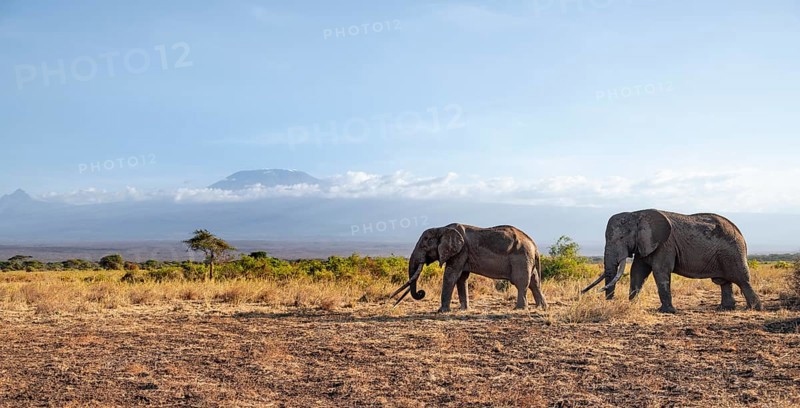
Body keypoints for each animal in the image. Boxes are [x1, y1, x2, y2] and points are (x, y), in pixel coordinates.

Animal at [390, 223, 547, 312]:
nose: (421, 292)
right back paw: (541, 308)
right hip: (527, 259)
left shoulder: (461, 251)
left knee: (521, 282)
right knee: (534, 282)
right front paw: (463, 310)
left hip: (521, 258)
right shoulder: (462, 254)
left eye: (424, 245)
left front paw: (441, 311)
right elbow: (461, 278)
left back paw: (519, 309)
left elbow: (451, 275)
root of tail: (535, 245)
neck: (442, 228)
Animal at [582, 209, 763, 313]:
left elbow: (660, 271)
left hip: (733, 252)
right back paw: (725, 309)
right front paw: (632, 305)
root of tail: (741, 234)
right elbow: (637, 272)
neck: (636, 214)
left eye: (621, 238)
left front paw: (666, 311)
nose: (609, 302)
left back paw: (754, 309)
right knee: (725, 282)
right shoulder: (646, 244)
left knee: (742, 280)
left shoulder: (665, 244)